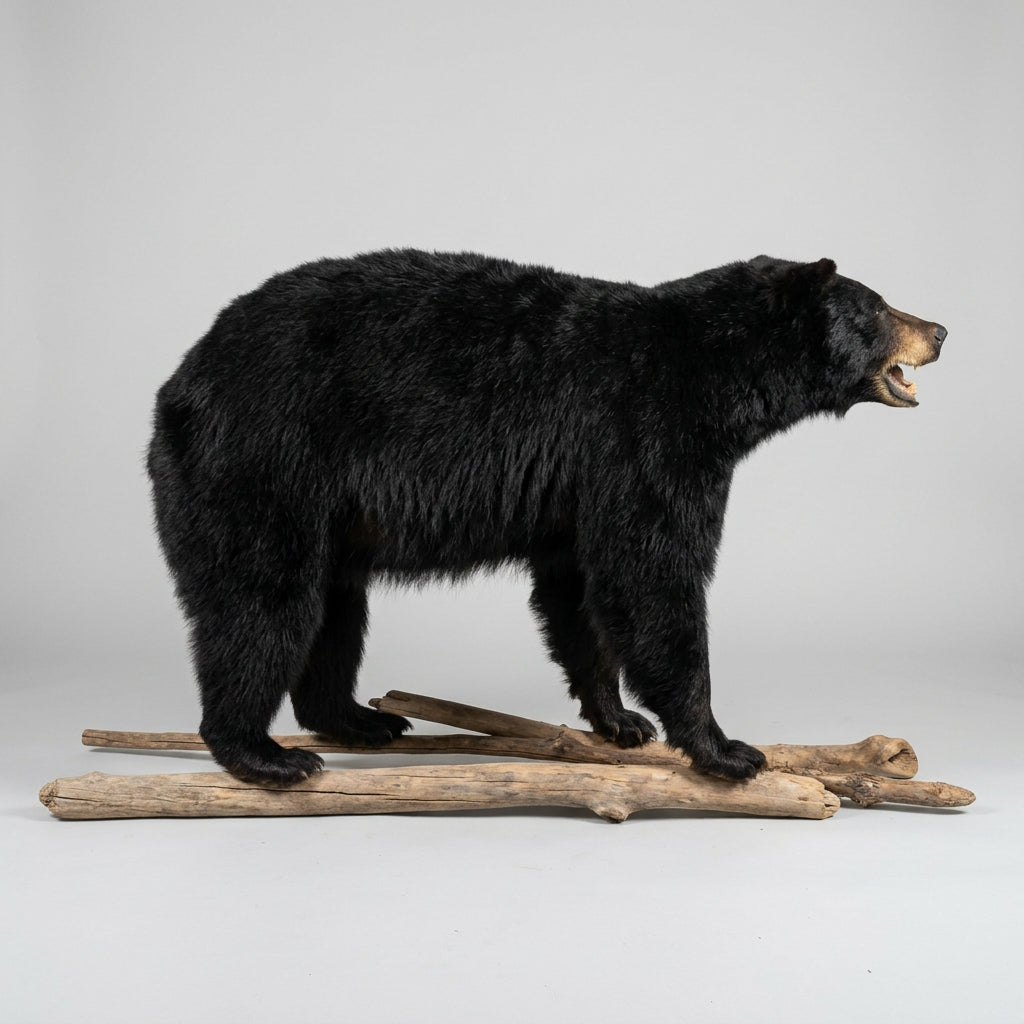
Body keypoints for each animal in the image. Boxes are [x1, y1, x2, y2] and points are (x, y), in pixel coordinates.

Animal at [147, 249, 946, 785]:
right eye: (877, 307)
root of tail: (178, 385)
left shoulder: (581, 485)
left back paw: (360, 718)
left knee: (332, 608)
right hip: (264, 467)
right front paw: (725, 748)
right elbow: (652, 577)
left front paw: (619, 720)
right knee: (262, 604)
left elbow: (579, 593)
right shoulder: (643, 435)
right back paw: (264, 755)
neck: (712, 370)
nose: (938, 329)